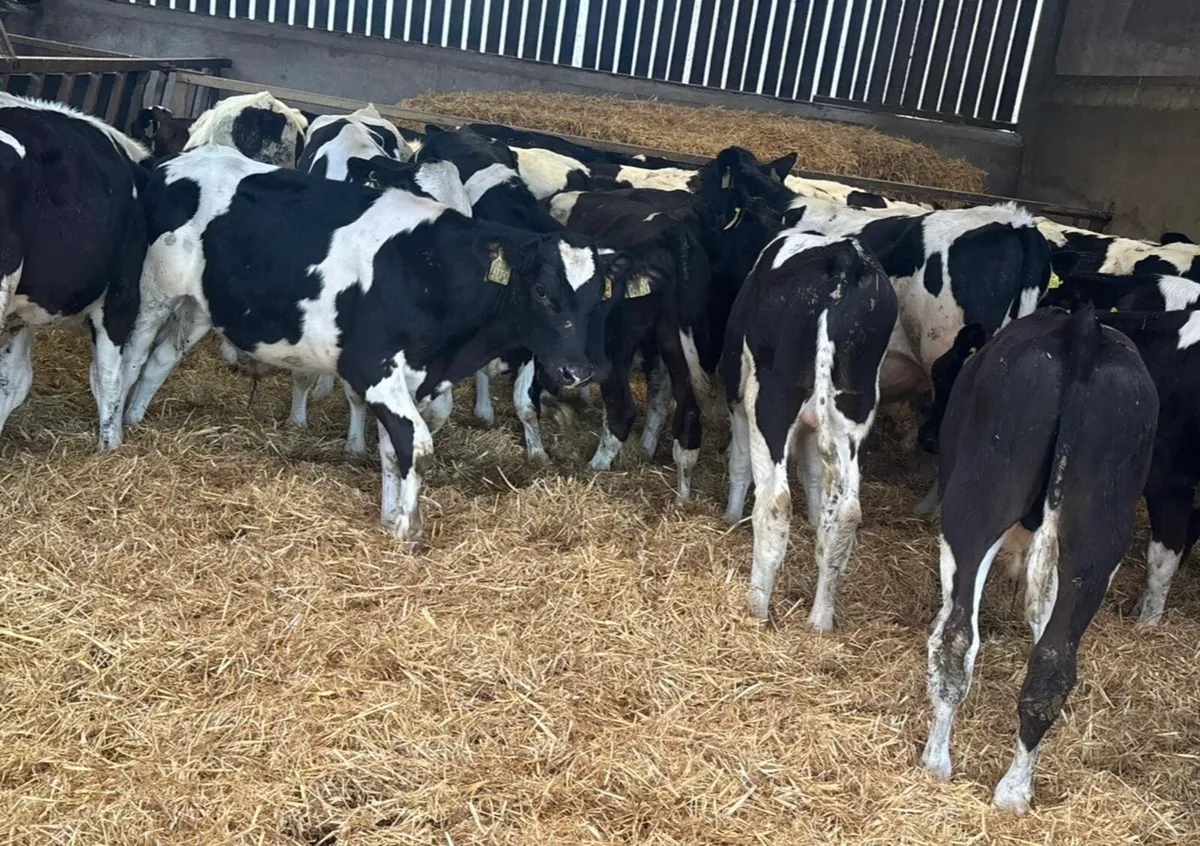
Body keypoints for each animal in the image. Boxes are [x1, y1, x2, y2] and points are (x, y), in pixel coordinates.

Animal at [115, 145, 652, 542]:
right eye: (541, 290)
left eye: (597, 299)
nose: (578, 371)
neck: (432, 274)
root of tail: (176, 162)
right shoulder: (371, 366)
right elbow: (416, 442)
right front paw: (405, 528)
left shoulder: (418, 378)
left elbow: (398, 446)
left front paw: (391, 514)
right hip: (153, 293)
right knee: (132, 357)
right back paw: (113, 431)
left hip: (199, 305)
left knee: (161, 360)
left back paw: (137, 419)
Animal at [720, 199, 898, 631]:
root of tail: (843, 259)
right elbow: (816, 477)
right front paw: (816, 519)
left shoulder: (737, 398)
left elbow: (739, 463)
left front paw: (730, 517)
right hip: (854, 411)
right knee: (847, 513)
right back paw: (821, 618)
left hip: (771, 402)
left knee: (775, 503)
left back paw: (757, 608)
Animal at [920, 307, 1157, 814]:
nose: (926, 436)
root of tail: (1082, 332)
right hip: (1095, 540)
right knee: (1052, 663)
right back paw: (1015, 790)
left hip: (976, 504)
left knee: (955, 640)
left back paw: (936, 760)